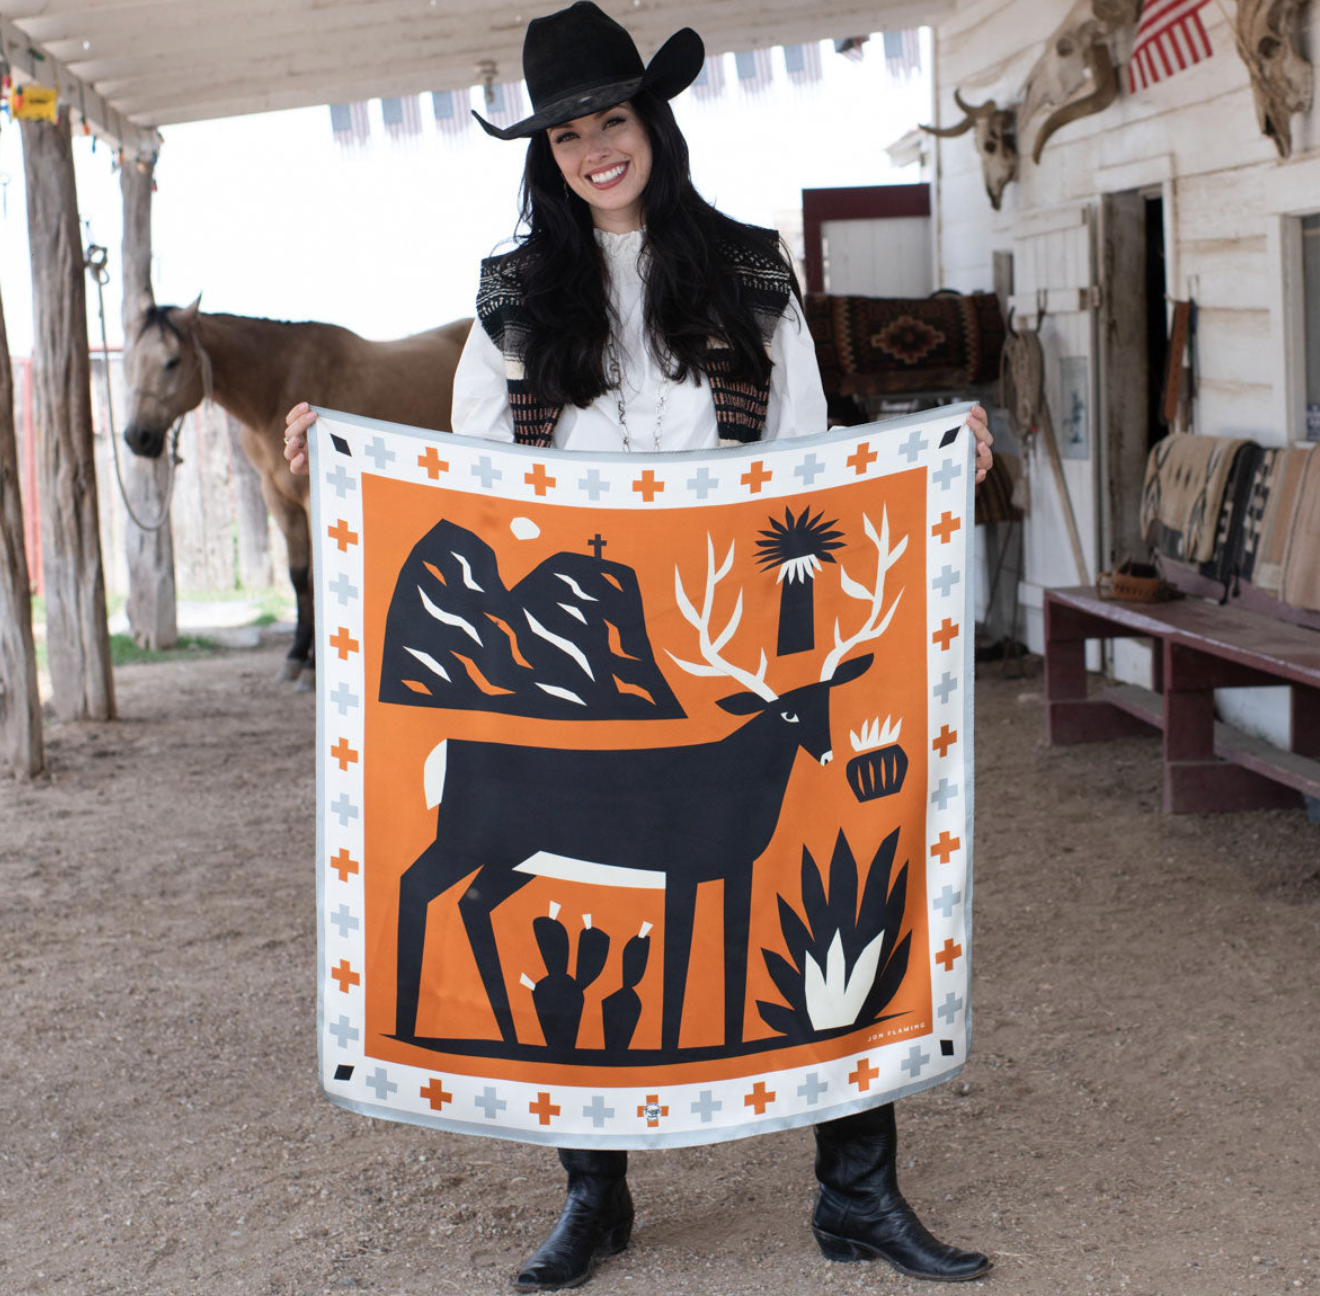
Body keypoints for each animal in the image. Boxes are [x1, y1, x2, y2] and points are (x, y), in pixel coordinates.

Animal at [118, 298, 469, 686]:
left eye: (172, 361)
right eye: (129, 363)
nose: (137, 437)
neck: (277, 390)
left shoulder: (311, 500)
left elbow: (316, 578)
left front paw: (314, 666)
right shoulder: (279, 500)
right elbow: (299, 577)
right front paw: (297, 657)